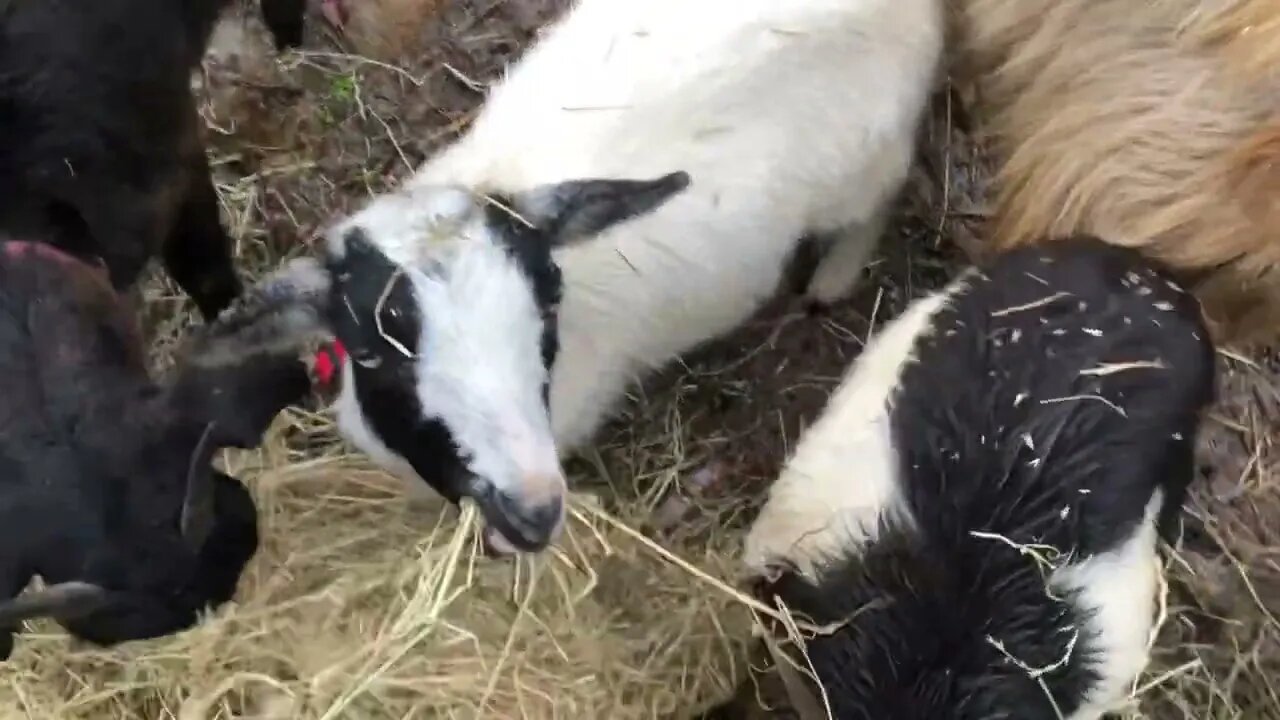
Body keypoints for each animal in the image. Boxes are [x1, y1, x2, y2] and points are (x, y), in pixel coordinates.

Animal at [194, 0, 947, 548]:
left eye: (546, 310)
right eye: (374, 349)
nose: (533, 513)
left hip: (871, 152)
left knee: (882, 193)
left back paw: (833, 277)